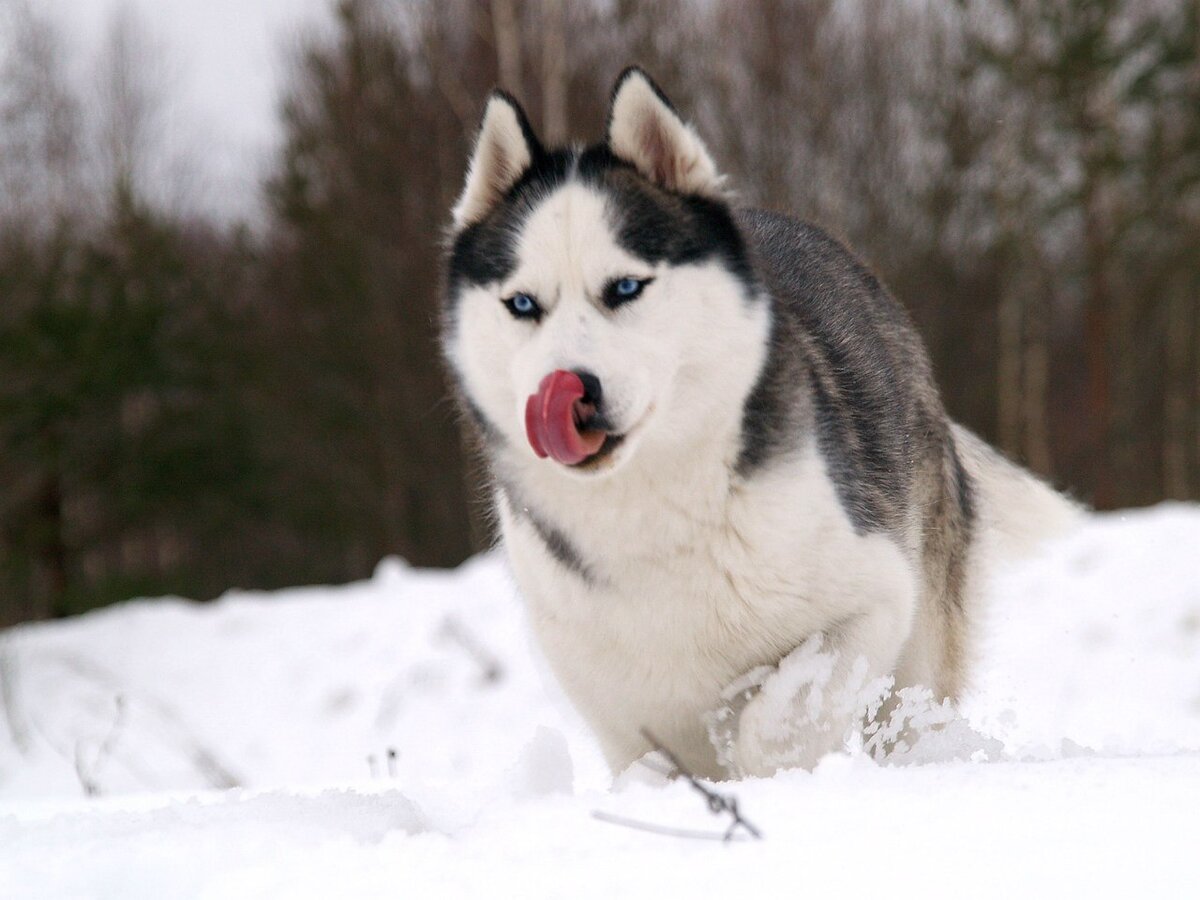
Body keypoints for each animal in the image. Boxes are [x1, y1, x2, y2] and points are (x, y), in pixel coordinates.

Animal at [441, 68, 1080, 782]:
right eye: (524, 304)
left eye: (626, 288)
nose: (570, 392)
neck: (654, 511)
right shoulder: (620, 709)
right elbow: (656, 763)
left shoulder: (875, 594)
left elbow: (777, 720)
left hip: (919, 636)